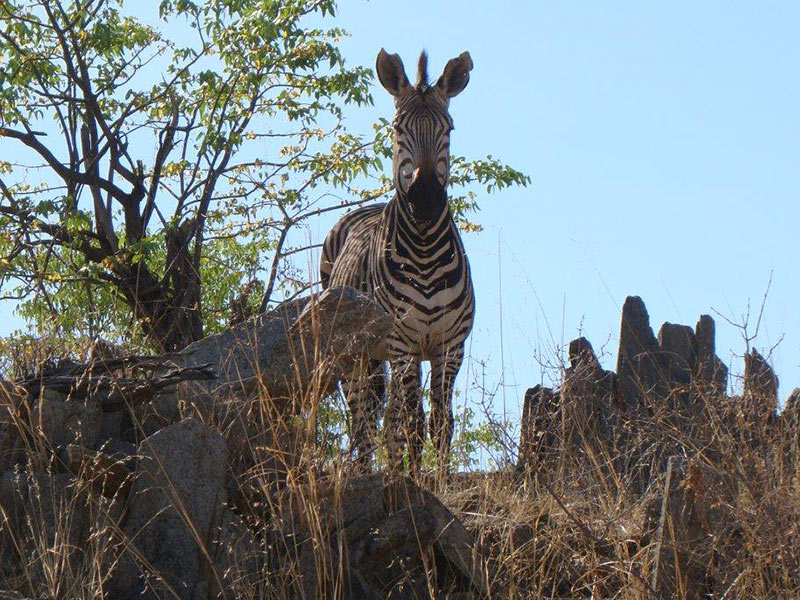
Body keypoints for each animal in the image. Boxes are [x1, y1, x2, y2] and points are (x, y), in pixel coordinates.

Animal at [320, 48, 475, 476]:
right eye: (397, 129)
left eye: (449, 129)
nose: (424, 199)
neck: (424, 249)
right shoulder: (401, 343)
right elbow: (412, 423)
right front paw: (414, 481)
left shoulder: (448, 347)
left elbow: (440, 422)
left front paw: (439, 481)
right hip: (356, 356)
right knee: (364, 420)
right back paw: (365, 474)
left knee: (383, 418)